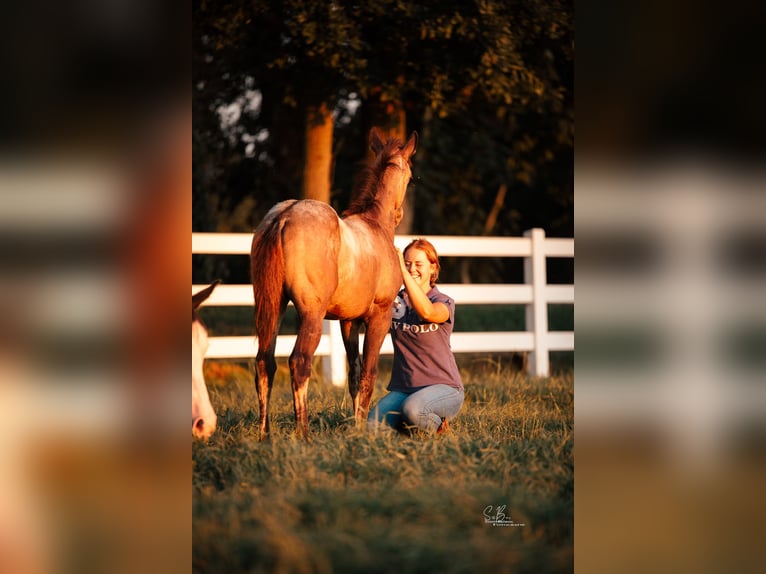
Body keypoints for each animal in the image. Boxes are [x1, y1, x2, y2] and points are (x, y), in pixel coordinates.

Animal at [250, 128, 417, 438]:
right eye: (410, 175)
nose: (400, 213)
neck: (375, 226)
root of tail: (283, 217)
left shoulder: (347, 322)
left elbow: (354, 374)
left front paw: (356, 426)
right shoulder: (380, 317)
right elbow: (369, 374)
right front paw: (363, 432)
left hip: (273, 307)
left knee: (264, 362)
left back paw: (265, 435)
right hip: (311, 315)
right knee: (299, 362)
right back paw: (303, 434)